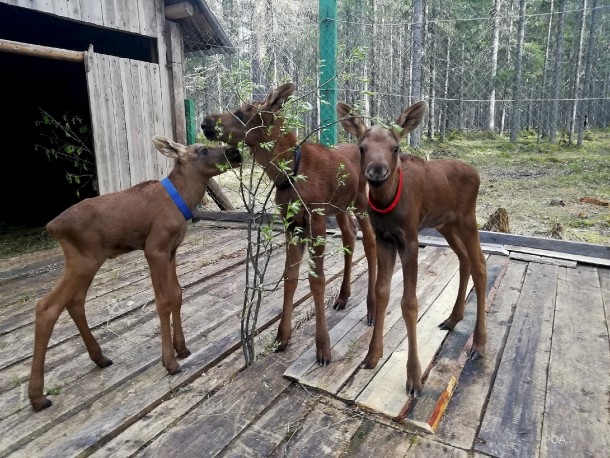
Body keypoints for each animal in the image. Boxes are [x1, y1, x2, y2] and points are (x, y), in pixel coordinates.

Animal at [27, 134, 240, 410]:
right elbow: (163, 301)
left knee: (75, 302)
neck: (183, 198)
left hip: (86, 262)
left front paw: (182, 348)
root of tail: (52, 226)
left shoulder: (171, 250)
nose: (236, 153)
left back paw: (100, 357)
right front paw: (170, 362)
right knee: (47, 306)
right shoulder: (154, 249)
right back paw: (37, 396)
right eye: (203, 150)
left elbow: (177, 295)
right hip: (83, 261)